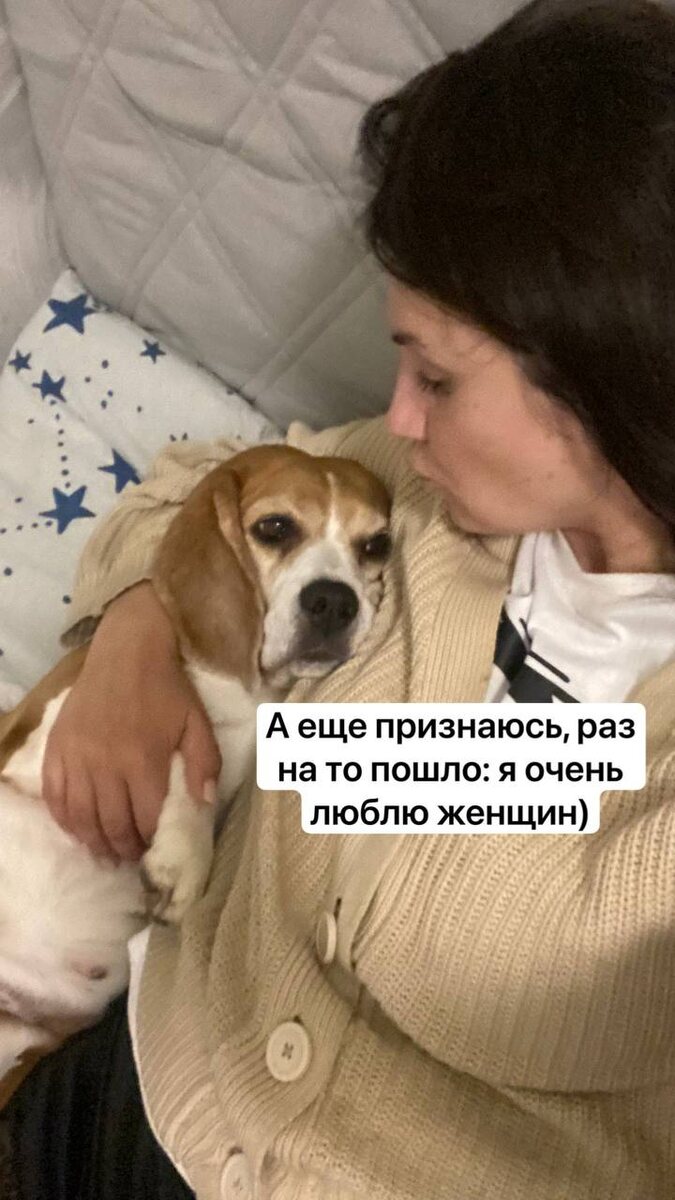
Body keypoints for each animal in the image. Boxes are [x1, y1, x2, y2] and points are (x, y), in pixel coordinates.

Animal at [0, 444, 391, 1082]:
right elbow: (191, 732)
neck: (247, 687)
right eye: (274, 528)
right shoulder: (54, 723)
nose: (335, 601)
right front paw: (184, 853)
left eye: (376, 544)